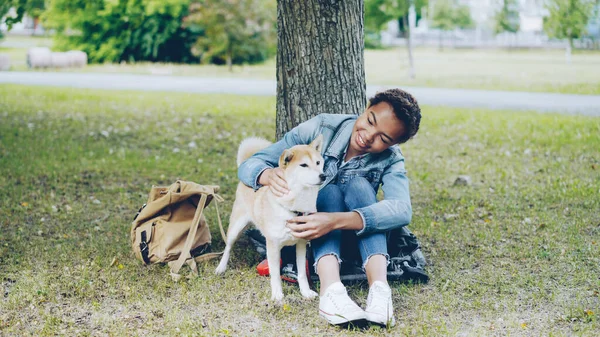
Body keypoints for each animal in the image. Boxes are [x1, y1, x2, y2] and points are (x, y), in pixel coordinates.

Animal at [216, 135, 326, 300]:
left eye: (318, 162)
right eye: (304, 165)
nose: (323, 176)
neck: (296, 207)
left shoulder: (301, 243)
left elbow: (301, 273)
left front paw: (305, 292)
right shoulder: (273, 245)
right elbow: (274, 274)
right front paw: (277, 295)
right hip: (236, 227)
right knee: (228, 247)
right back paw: (221, 267)